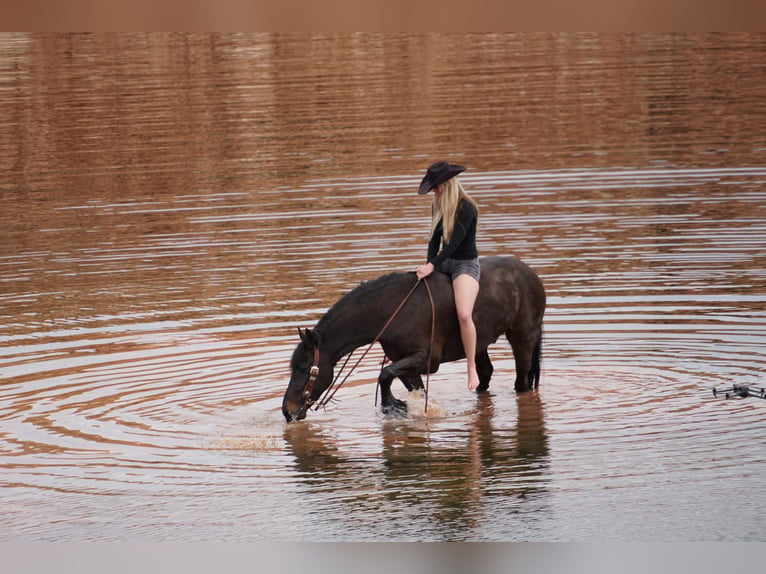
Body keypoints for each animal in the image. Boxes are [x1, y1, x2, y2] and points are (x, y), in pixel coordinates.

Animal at [282, 256, 544, 424]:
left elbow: (384, 374)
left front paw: (393, 406)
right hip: (479, 344)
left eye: (305, 368)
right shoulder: (407, 364)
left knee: (522, 382)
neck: (394, 309)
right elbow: (409, 386)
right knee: (485, 374)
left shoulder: (425, 359)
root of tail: (530, 274)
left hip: (522, 338)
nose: (287, 410)